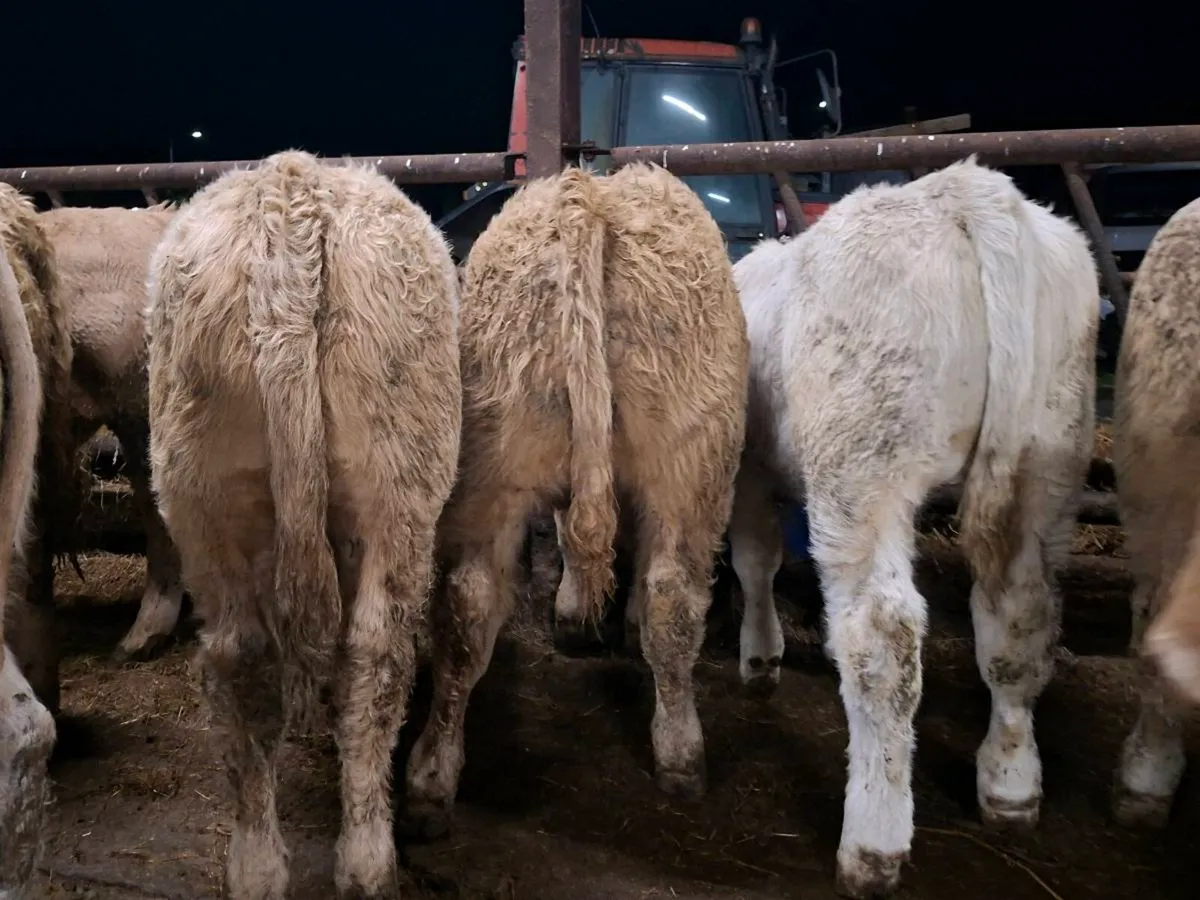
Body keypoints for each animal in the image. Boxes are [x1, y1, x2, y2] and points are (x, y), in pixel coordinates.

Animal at [146, 150, 462, 899]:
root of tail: (291, 189)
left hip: (202, 493)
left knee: (240, 656)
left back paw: (257, 865)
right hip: (400, 491)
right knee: (379, 654)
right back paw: (368, 860)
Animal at [403, 162, 749, 838]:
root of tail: (589, 196)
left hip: (496, 458)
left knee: (466, 606)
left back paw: (432, 777)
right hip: (690, 469)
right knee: (673, 597)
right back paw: (681, 751)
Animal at [727, 157, 1099, 898]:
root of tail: (966, 191)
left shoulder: (751, 470)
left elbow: (755, 562)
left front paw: (759, 657)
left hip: (863, 466)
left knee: (883, 635)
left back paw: (874, 838)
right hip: (1050, 457)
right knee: (1022, 614)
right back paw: (1010, 783)